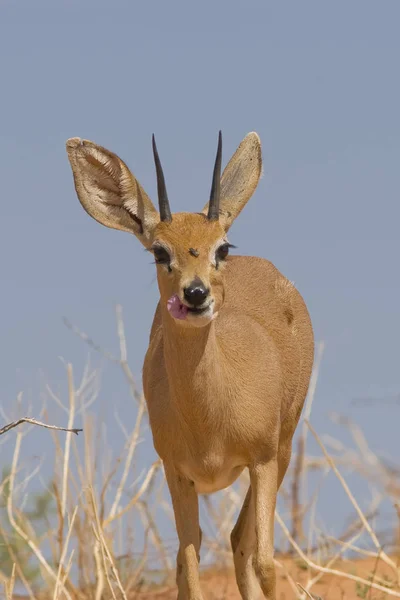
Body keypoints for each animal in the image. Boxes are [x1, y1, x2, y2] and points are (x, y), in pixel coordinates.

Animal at [66, 132, 316, 600]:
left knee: (244, 545)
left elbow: (267, 563)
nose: (196, 293)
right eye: (159, 251)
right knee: (221, 545)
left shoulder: (263, 460)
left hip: (284, 450)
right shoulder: (176, 471)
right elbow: (188, 563)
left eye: (222, 247)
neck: (210, 419)